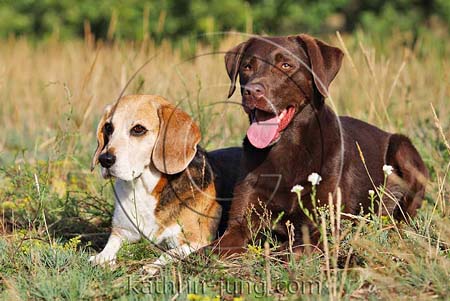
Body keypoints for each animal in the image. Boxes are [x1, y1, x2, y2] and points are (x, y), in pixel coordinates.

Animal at [88, 94, 221, 272]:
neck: (144, 189)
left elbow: (169, 253)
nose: (105, 159)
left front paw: (151, 266)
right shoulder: (121, 231)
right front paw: (100, 258)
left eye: (138, 129)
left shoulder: (196, 240)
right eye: (108, 127)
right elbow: (110, 246)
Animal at [211, 34, 428, 255]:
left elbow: (286, 250)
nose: (251, 92)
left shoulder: (324, 228)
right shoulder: (238, 225)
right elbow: (212, 249)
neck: (286, 148)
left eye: (286, 65)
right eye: (247, 66)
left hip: (403, 148)